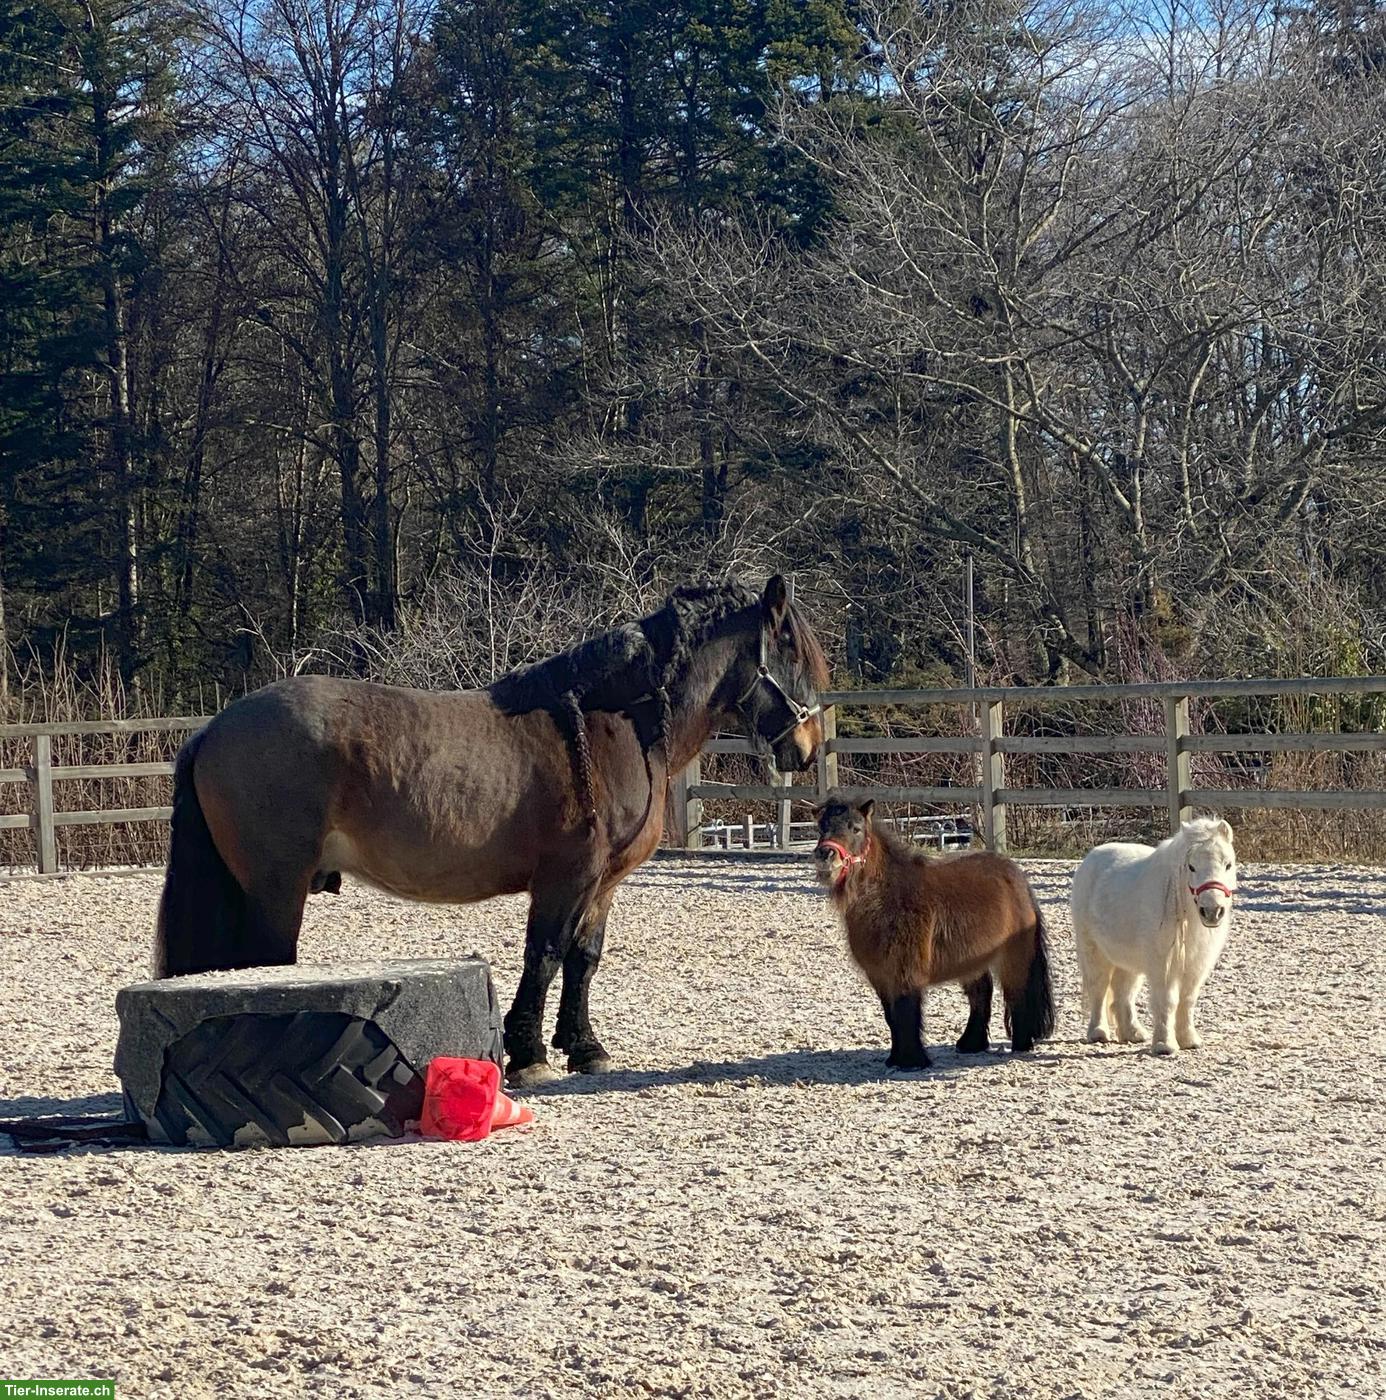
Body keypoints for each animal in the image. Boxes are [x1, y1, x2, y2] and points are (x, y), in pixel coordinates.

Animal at [154, 576, 830, 1086]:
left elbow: (584, 959)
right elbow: (546, 954)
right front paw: (528, 1056)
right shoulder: (567, 877)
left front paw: (585, 1047)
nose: (806, 747)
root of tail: (213, 728)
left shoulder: (604, 884)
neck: (613, 723)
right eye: (791, 653)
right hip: (275, 888)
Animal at [813, 798, 1055, 1068]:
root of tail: (1018, 878)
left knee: (1017, 996)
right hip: (971, 961)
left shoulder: (905, 972)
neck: (887, 898)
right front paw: (895, 1058)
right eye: (821, 827)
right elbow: (891, 1017)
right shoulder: (880, 976)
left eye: (855, 828)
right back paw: (971, 1043)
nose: (825, 855)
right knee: (981, 994)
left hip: (1014, 959)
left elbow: (906, 1012)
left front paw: (911, 1060)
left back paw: (1021, 1045)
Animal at [1069, 817, 1237, 1056]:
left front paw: (1189, 1040)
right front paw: (1165, 1045)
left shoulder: (1196, 965)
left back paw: (1132, 1033)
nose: (1212, 911)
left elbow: (1187, 999)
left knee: (1124, 993)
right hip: (1093, 950)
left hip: (1127, 960)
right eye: (1191, 866)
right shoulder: (1162, 964)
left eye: (1228, 864)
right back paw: (1098, 1032)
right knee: (1099, 989)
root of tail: (1091, 857)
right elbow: (1168, 1000)